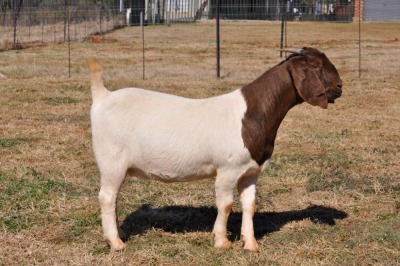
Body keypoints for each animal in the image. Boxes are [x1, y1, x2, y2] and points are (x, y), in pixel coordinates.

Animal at [86, 46, 340, 252]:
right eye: (316, 66)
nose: (340, 87)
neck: (251, 114)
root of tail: (103, 97)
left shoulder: (251, 172)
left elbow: (249, 204)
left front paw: (250, 244)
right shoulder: (228, 169)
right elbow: (226, 204)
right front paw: (222, 241)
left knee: (113, 197)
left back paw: (119, 234)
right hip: (112, 160)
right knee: (107, 197)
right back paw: (116, 243)